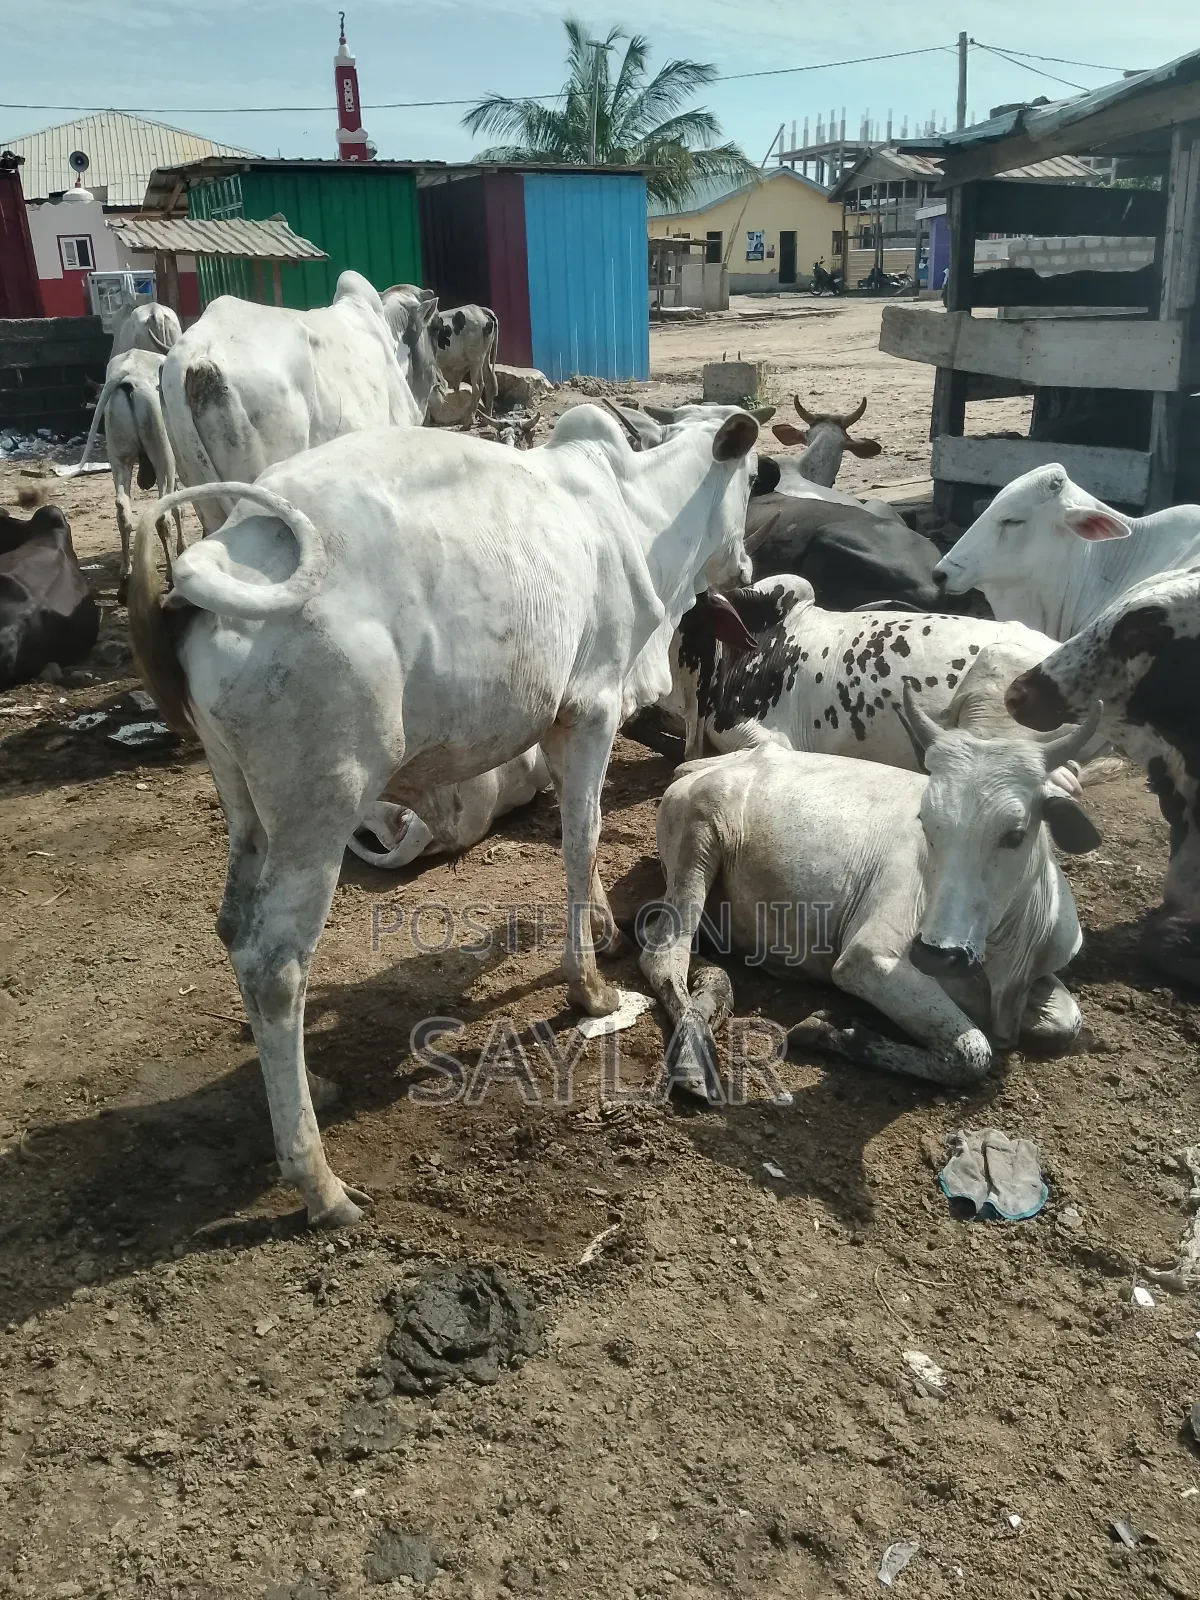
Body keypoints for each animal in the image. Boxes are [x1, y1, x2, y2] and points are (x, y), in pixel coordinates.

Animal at [75, 351, 185, 599]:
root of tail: (128, 375)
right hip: (164, 455)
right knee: (163, 516)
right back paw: (171, 575)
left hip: (119, 455)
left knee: (122, 510)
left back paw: (125, 580)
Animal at [640, 693, 1101, 1097]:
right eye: (926, 821)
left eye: (1015, 834)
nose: (938, 954)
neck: (1006, 956)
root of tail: (698, 767)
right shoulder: (868, 959)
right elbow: (973, 1052)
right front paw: (835, 1032)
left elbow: (1067, 1021)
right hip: (700, 839)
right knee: (663, 956)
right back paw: (694, 1061)